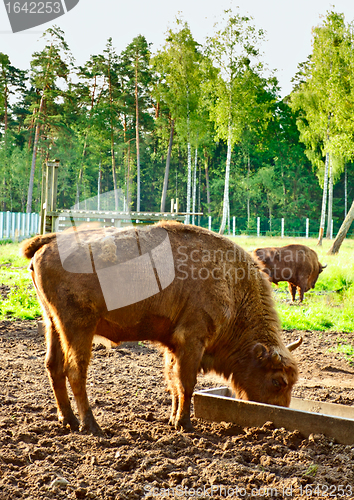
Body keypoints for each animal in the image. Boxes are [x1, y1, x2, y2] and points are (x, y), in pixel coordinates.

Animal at [20, 223, 300, 434]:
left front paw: (173, 419)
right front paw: (185, 424)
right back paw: (91, 426)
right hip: (78, 327)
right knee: (75, 371)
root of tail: (48, 242)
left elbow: (173, 381)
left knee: (53, 366)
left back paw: (68, 420)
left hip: (52, 324)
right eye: (278, 381)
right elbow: (186, 382)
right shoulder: (192, 339)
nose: (277, 416)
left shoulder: (173, 344)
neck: (231, 282)